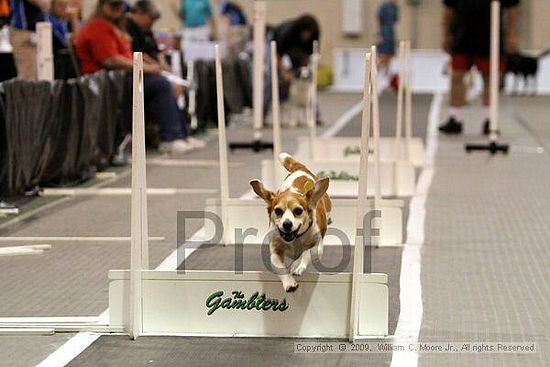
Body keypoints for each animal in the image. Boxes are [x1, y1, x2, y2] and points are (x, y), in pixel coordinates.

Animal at [250, 153, 332, 294]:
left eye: (298, 211)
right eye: (278, 211)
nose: (287, 224)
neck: (295, 238)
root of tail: (300, 169)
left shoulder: (318, 247)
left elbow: (306, 252)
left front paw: (297, 265)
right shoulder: (275, 250)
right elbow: (280, 267)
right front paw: (289, 283)